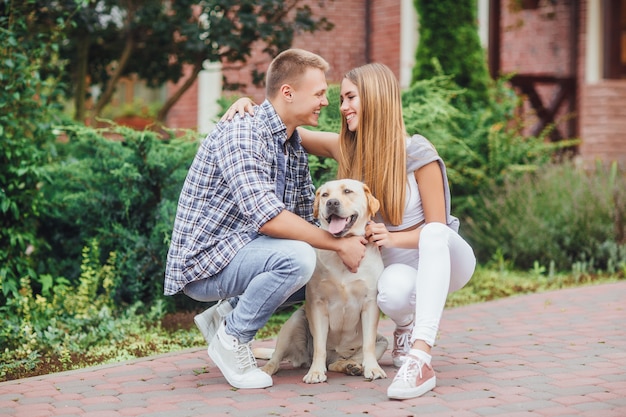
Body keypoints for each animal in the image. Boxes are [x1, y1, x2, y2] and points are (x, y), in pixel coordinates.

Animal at [256, 177, 388, 382]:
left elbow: (369, 345)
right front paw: (316, 372)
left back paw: (350, 366)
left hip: (383, 341)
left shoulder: (370, 303)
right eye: (325, 194)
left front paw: (373, 368)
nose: (331, 203)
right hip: (294, 322)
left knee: (338, 362)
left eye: (347, 191)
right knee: (276, 358)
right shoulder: (317, 304)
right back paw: (264, 371)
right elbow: (319, 346)